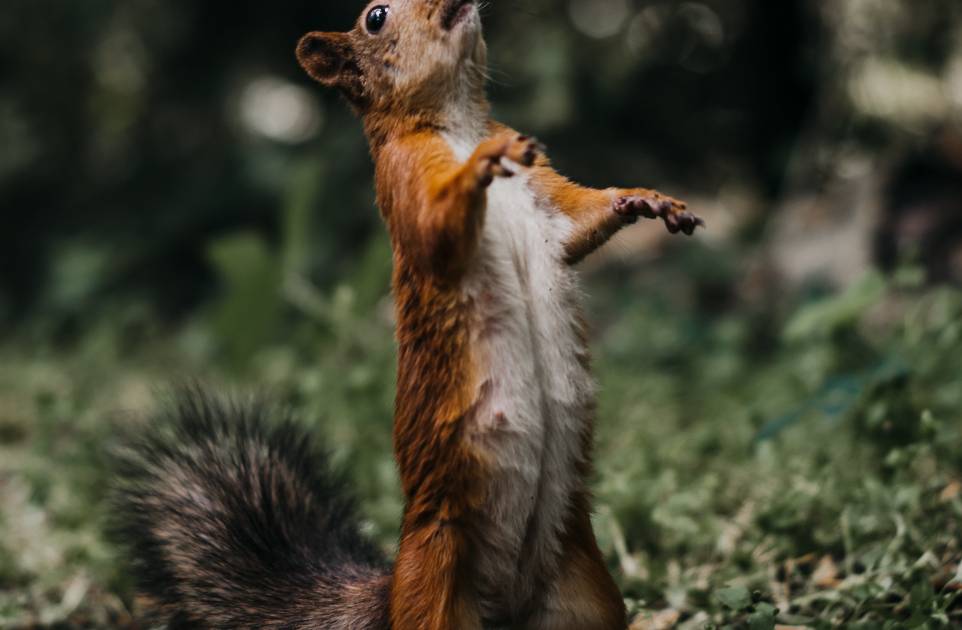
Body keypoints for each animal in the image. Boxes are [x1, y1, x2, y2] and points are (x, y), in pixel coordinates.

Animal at [113, 1, 704, 629]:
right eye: (376, 16)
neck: (458, 122)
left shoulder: (546, 197)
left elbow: (582, 219)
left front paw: (648, 200)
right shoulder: (404, 175)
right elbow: (434, 228)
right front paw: (480, 166)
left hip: (585, 591)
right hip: (437, 583)